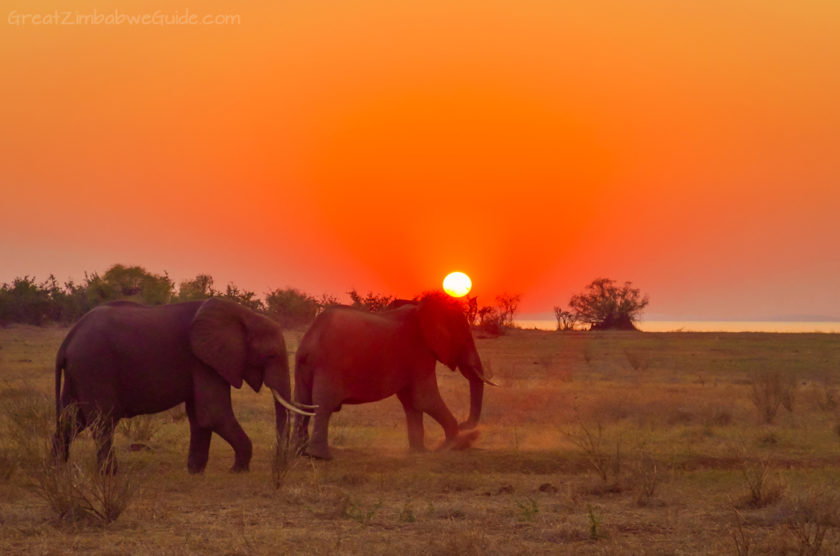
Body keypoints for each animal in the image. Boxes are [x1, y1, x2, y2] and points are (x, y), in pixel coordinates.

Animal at [54, 298, 314, 472]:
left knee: (71, 419)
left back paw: (56, 469)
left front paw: (195, 471)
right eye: (270, 356)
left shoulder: (202, 361)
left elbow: (200, 416)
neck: (242, 315)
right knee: (102, 421)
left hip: (80, 371)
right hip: (94, 366)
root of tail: (68, 339)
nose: (279, 465)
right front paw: (239, 470)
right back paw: (110, 474)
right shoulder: (203, 360)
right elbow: (214, 413)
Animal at [294, 292, 492, 460]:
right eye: (466, 339)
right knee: (324, 404)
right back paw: (320, 457)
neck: (424, 309)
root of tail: (310, 337)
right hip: (329, 365)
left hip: (304, 365)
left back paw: (300, 453)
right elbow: (424, 398)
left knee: (303, 403)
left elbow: (411, 401)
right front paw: (450, 446)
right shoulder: (419, 352)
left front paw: (420, 452)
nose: (464, 424)